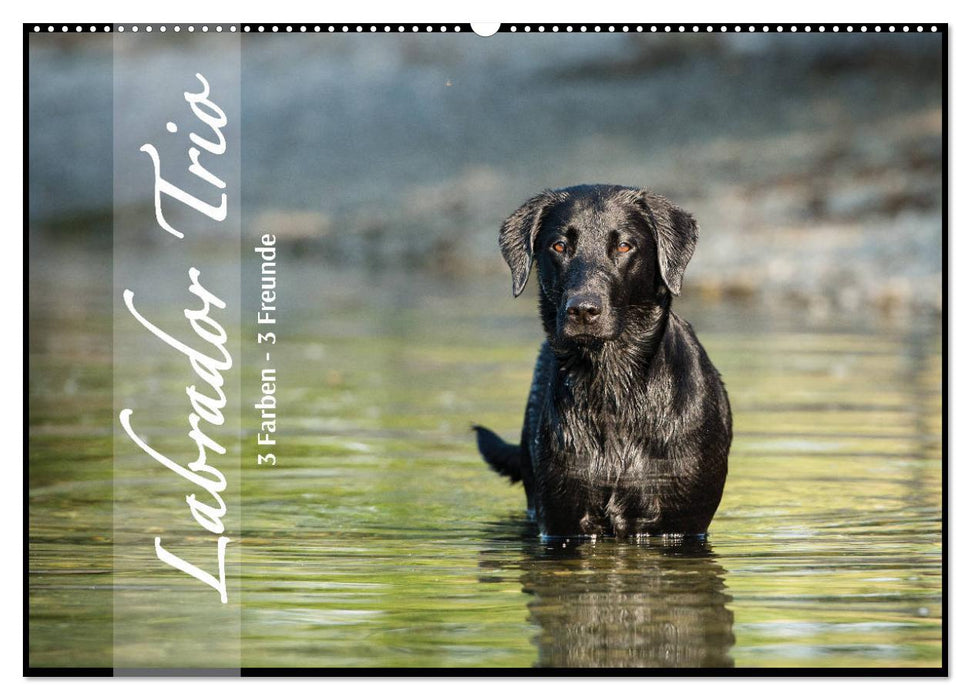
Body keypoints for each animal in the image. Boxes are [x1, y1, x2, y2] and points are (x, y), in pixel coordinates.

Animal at [474, 183, 732, 540]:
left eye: (624, 245)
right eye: (559, 245)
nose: (583, 309)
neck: (613, 391)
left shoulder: (684, 524)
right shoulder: (561, 520)